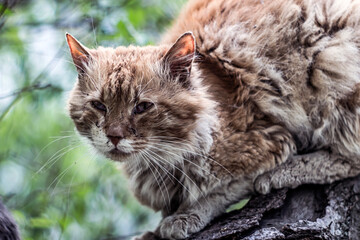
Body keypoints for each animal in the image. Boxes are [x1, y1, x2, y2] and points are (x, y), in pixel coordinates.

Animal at [66, 0, 360, 239]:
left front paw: (184, 216)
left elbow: (221, 190)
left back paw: (284, 173)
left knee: (350, 160)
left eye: (142, 107)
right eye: (99, 106)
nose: (114, 136)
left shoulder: (268, 143)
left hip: (331, 64)